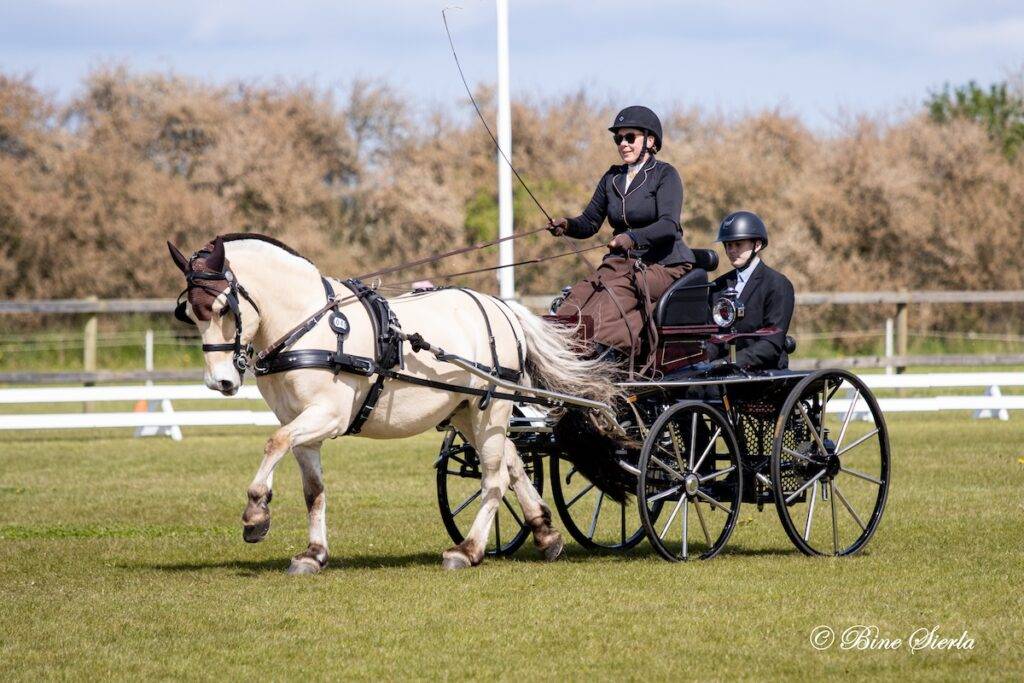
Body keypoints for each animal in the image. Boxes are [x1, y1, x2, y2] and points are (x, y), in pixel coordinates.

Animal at [167, 233, 620, 574]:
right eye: (188, 311)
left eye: (223, 308)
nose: (220, 381)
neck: (308, 324)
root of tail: (501, 307)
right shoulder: (302, 424)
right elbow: (313, 490)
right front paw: (313, 554)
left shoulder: (328, 416)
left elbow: (274, 442)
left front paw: (256, 514)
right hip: (467, 412)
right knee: (510, 461)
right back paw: (545, 533)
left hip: (490, 407)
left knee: (493, 477)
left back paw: (468, 550)